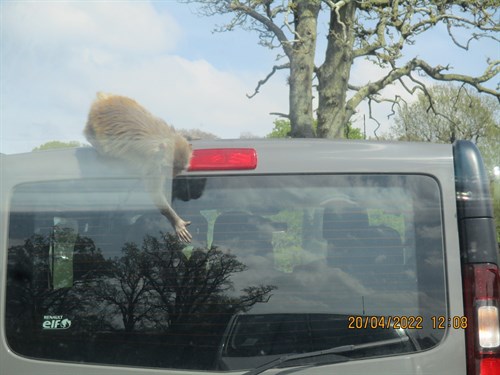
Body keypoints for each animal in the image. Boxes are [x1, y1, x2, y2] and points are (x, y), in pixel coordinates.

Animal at [83, 92, 192, 242]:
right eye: (169, 168)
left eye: (179, 169)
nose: (173, 175)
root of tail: (104, 99)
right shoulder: (153, 165)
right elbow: (154, 193)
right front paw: (176, 221)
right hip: (92, 127)